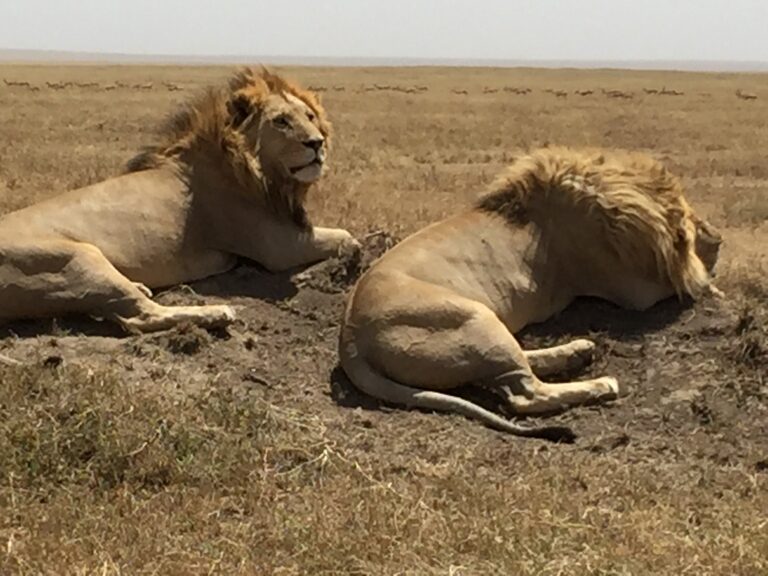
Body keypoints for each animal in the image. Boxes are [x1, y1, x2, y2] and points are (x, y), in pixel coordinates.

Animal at [0, 68, 358, 333]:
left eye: (310, 116)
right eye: (281, 121)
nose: (317, 143)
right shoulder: (279, 247)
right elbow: (346, 236)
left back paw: (143, 287)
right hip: (78, 257)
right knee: (140, 317)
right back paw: (217, 313)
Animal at [339, 147, 723, 440]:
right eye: (690, 216)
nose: (718, 235)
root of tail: (350, 340)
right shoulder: (629, 289)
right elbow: (687, 281)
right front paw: (711, 285)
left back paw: (577, 351)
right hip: (475, 317)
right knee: (525, 395)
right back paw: (602, 383)